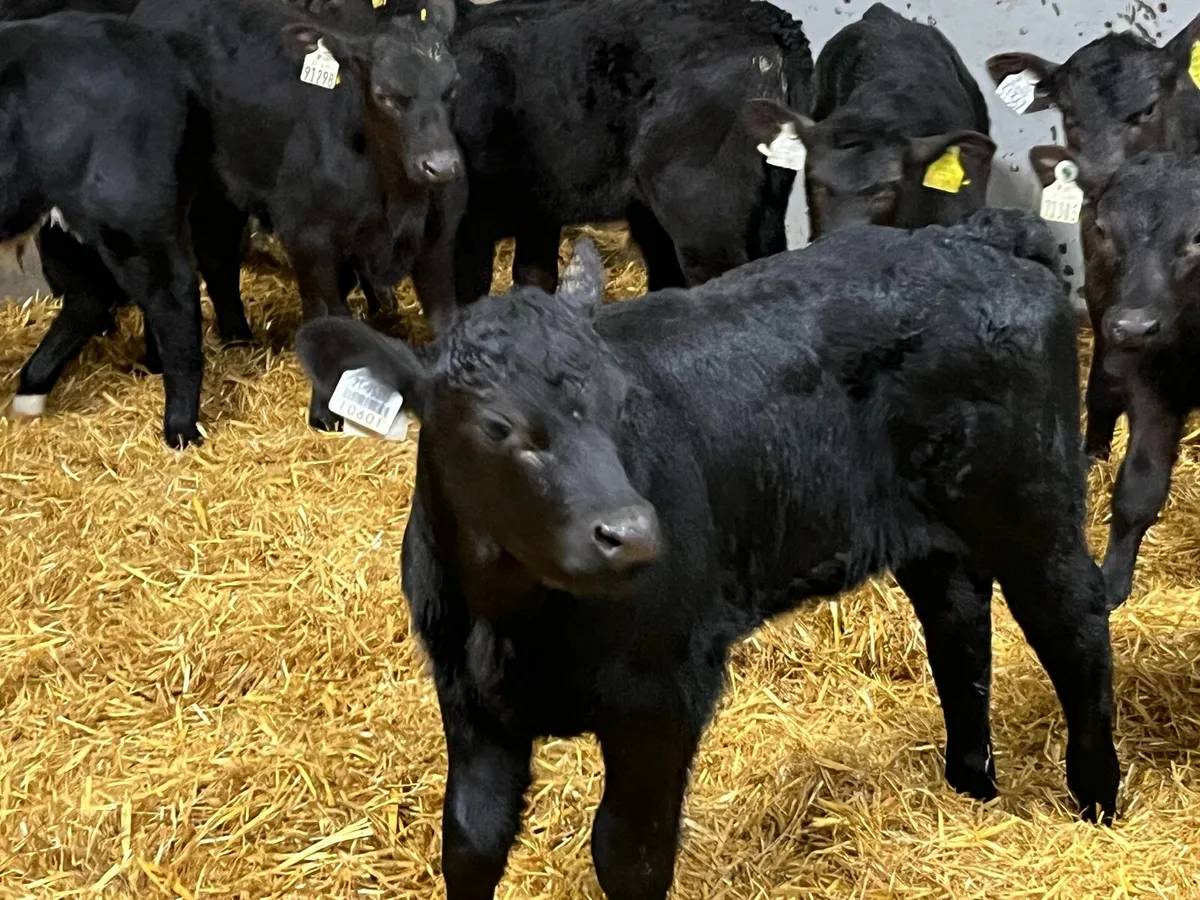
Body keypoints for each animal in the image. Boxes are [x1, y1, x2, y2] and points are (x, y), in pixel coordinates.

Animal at [3, 12, 208, 448]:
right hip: (64, 225)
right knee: (88, 297)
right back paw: (28, 396)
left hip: (127, 214)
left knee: (172, 296)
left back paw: (180, 431)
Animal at [296, 209, 1119, 899]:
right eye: (497, 427)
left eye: (624, 403)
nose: (632, 532)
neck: (512, 617)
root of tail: (973, 235)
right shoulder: (469, 700)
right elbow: (470, 842)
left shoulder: (664, 692)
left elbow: (628, 855)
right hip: (933, 536)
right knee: (958, 630)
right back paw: (970, 785)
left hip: (1035, 505)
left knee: (1074, 631)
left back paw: (1097, 800)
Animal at [989, 15, 1200, 460]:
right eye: (1068, 113)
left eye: (1147, 108)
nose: (1096, 176)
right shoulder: (1103, 297)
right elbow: (1102, 388)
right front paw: (1093, 455)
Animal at [1030, 147, 1200, 608]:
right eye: (1104, 229)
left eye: (1199, 236)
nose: (1136, 326)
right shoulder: (1152, 390)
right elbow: (1139, 487)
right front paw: (1113, 581)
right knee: (1101, 396)